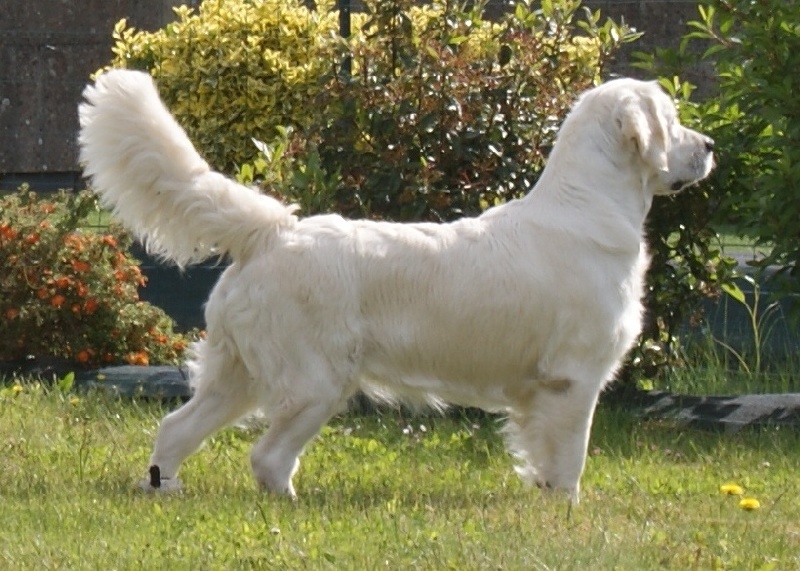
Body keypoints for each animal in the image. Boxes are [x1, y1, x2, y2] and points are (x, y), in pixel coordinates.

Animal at [78, 69, 712, 502]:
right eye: (672, 118)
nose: (708, 147)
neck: (586, 204)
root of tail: (275, 230)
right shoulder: (572, 379)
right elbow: (568, 461)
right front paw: (566, 512)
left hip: (239, 374)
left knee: (176, 428)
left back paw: (166, 490)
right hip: (314, 383)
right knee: (266, 457)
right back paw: (292, 504)